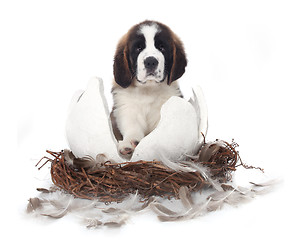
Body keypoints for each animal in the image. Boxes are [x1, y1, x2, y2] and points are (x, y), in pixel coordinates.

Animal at [111, 20, 187, 158]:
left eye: (161, 47)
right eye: (138, 48)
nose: (151, 61)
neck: (148, 89)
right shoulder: (126, 108)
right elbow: (131, 125)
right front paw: (129, 143)